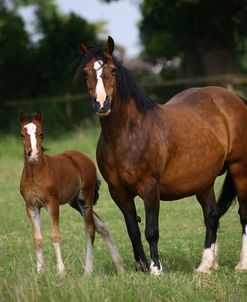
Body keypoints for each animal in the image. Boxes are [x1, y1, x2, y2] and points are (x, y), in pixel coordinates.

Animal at [19, 112, 123, 274]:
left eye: (41, 133)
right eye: (22, 135)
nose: (33, 154)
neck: (34, 177)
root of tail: (82, 157)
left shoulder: (53, 203)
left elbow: (55, 235)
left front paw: (61, 272)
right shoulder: (31, 207)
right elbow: (37, 239)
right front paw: (40, 272)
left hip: (85, 199)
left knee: (90, 230)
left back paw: (88, 271)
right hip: (74, 202)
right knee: (100, 225)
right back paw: (119, 266)